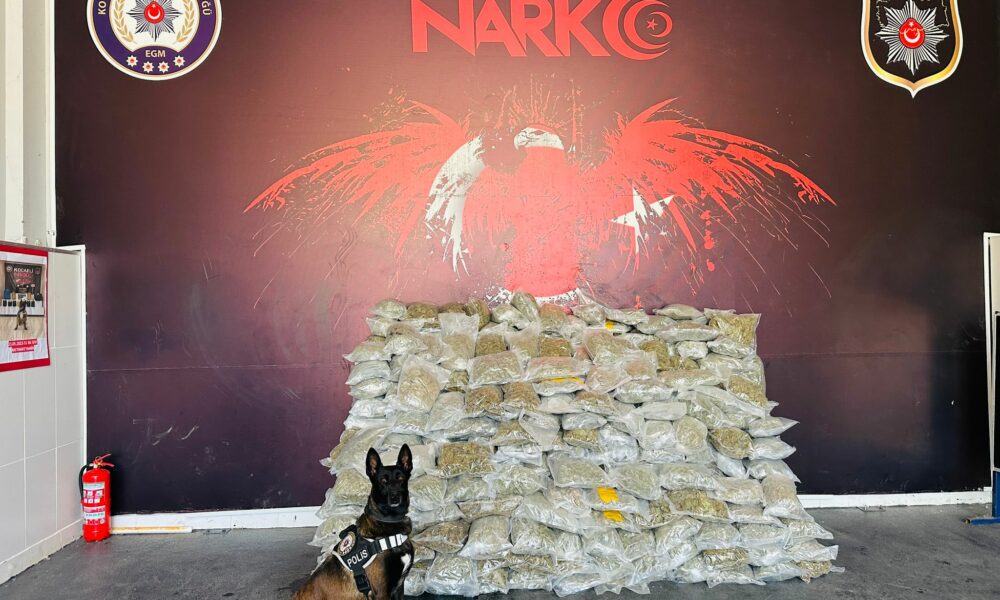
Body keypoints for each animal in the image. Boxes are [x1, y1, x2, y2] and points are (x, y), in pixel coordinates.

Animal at [294, 445, 414, 600]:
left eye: (401, 479)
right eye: (383, 481)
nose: (395, 497)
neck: (390, 523)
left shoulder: (399, 588)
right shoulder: (382, 592)